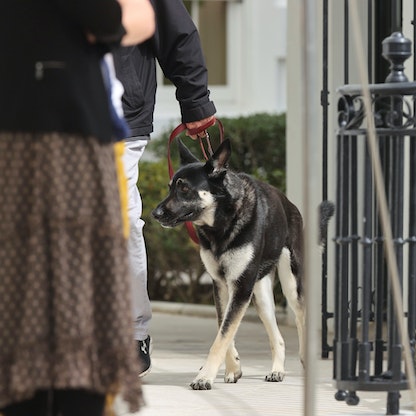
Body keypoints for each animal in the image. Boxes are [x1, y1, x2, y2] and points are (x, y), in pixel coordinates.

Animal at [153, 139, 332, 390]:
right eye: (170, 187)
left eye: (184, 188)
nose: (155, 213)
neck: (222, 223)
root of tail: (291, 206)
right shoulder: (222, 286)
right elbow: (224, 329)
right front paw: (233, 368)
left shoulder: (241, 287)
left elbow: (222, 336)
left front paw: (204, 376)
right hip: (260, 296)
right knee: (277, 336)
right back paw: (277, 370)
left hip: (291, 285)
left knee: (301, 321)